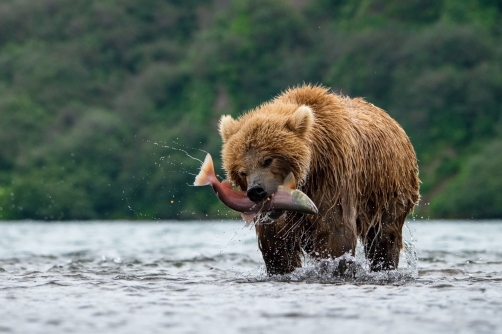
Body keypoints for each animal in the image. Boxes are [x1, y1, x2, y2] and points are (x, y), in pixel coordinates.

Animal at [220, 85, 420, 276]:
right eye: (242, 171)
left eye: (268, 160)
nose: (256, 190)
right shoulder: (280, 219)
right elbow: (277, 245)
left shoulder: (332, 180)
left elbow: (336, 235)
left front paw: (335, 267)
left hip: (388, 192)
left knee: (384, 239)